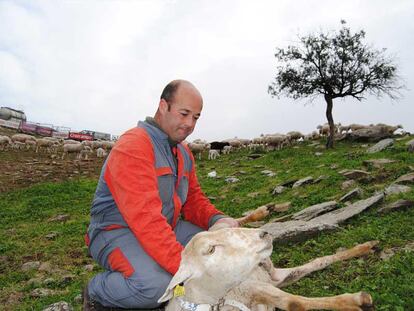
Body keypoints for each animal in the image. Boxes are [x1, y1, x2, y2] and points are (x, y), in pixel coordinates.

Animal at [158, 227, 376, 311]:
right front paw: (352, 303)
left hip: (269, 277)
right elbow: (294, 303)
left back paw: (365, 247)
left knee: (317, 261)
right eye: (210, 249)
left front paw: (353, 301)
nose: (263, 233)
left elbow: (294, 302)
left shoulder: (253, 286)